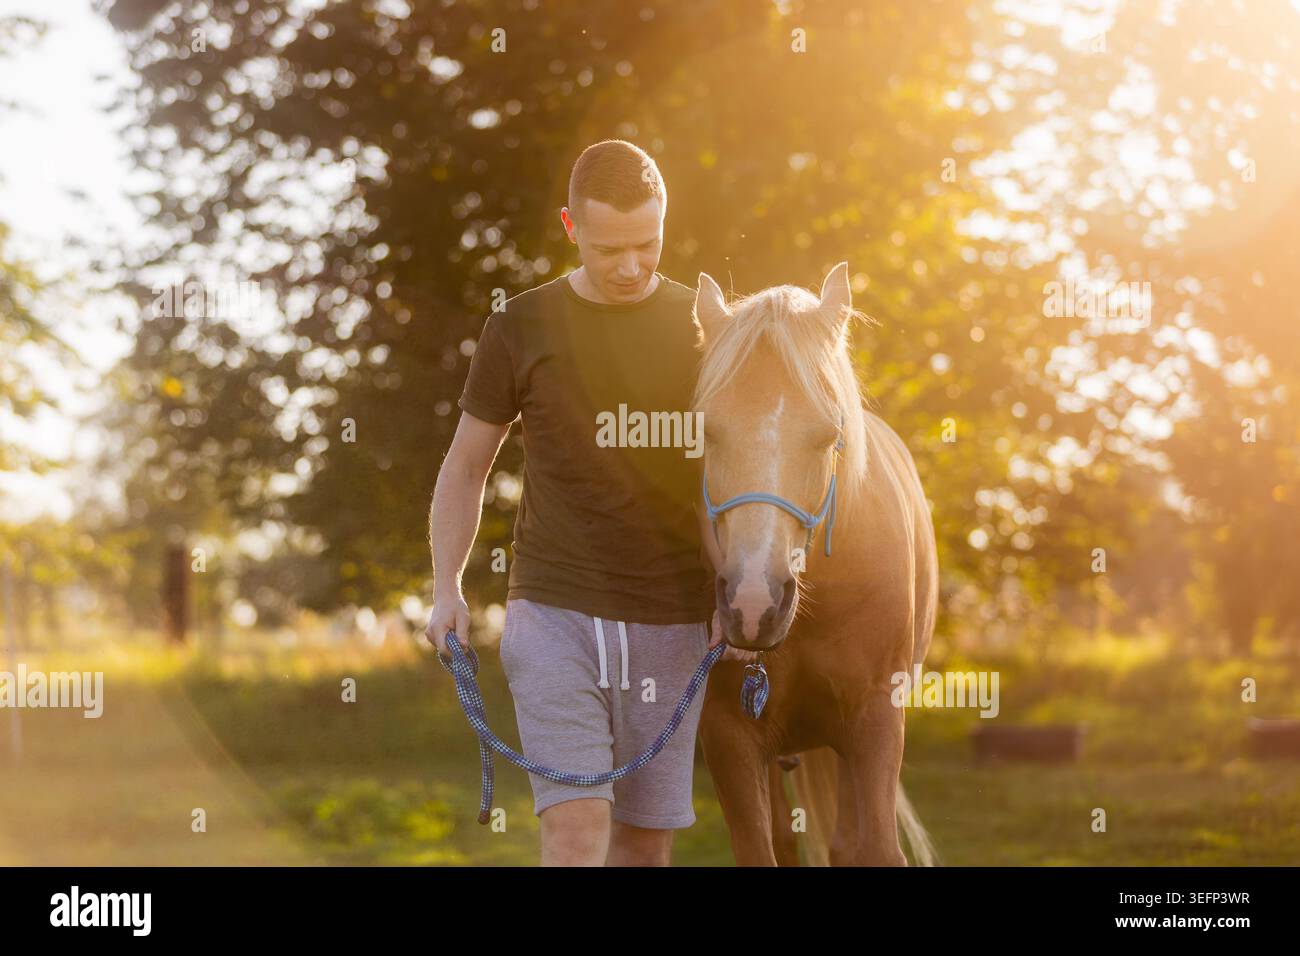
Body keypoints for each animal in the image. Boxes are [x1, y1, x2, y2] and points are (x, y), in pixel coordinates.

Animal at [692, 262, 939, 866]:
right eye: (705, 432)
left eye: (829, 435)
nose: (752, 604)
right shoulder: (728, 733)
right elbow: (762, 847)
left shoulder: (874, 721)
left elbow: (876, 849)